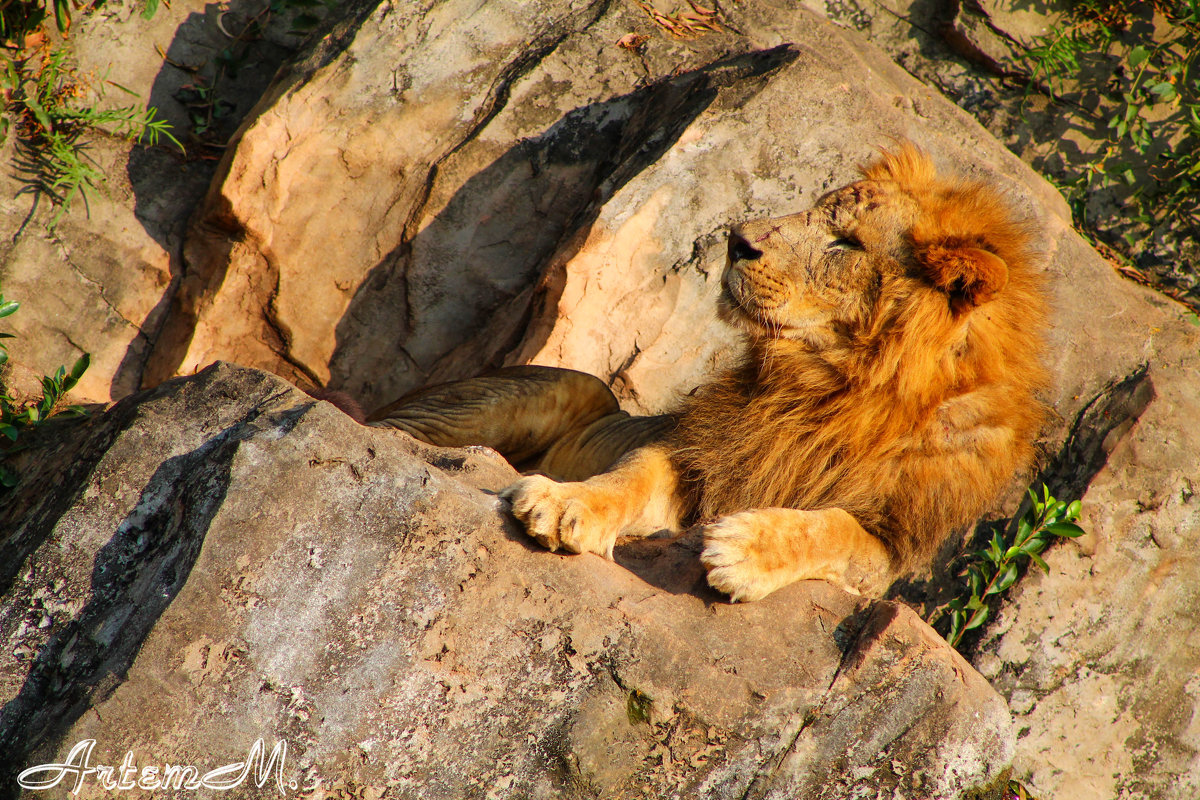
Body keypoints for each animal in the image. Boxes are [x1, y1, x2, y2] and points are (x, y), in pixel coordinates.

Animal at [367, 146, 1051, 604]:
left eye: (847, 244)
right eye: (813, 211)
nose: (737, 239)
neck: (833, 389)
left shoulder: (892, 551)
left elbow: (835, 530)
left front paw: (746, 549)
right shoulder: (699, 454)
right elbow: (630, 475)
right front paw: (566, 504)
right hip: (573, 387)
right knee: (394, 427)